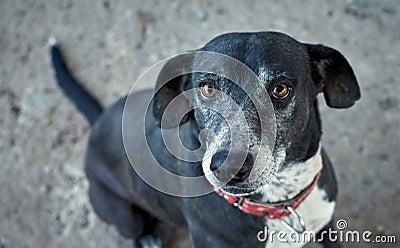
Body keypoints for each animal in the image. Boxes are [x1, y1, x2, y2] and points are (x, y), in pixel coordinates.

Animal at [50, 31, 360, 248]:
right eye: (208, 88)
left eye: (280, 89)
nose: (229, 166)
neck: (278, 204)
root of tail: (99, 121)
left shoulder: (329, 227)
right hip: (124, 215)